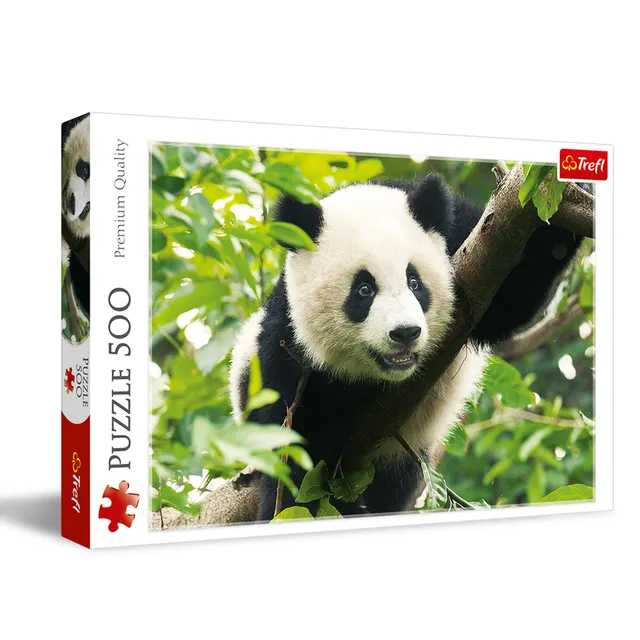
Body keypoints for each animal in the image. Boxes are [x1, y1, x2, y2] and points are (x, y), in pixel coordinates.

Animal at [229, 175, 581, 521]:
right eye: (364, 289)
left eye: (415, 282)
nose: (405, 333)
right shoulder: (287, 342)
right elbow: (293, 444)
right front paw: (285, 505)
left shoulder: (466, 239)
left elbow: (507, 302)